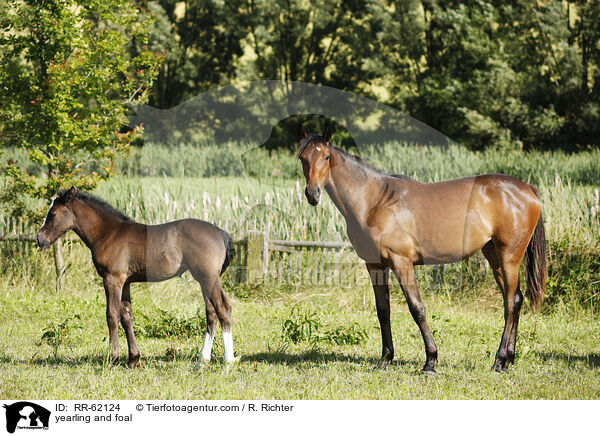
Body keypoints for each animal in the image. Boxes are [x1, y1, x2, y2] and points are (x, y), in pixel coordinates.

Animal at [36, 187, 236, 368]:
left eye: (53, 214)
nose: (39, 239)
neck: (107, 233)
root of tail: (221, 234)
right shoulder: (125, 283)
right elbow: (126, 316)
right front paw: (133, 359)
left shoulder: (112, 280)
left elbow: (112, 315)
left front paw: (113, 360)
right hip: (203, 281)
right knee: (211, 313)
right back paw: (201, 362)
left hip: (208, 279)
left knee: (223, 309)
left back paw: (227, 362)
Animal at [298, 124, 548, 372]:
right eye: (303, 158)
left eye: (326, 157)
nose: (312, 194)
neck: (374, 201)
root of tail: (526, 189)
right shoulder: (375, 265)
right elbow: (383, 311)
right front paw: (386, 358)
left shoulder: (401, 262)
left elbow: (417, 308)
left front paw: (430, 360)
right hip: (493, 254)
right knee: (514, 298)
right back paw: (508, 359)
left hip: (509, 256)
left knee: (512, 302)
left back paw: (500, 359)